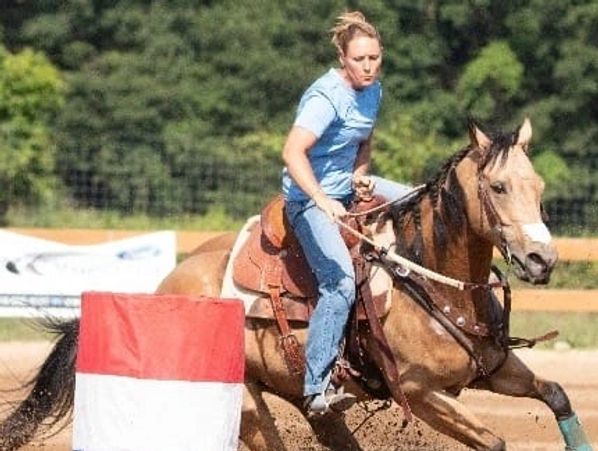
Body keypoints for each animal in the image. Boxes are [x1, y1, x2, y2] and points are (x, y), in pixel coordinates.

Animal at [0, 119, 593, 451]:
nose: (542, 258)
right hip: (245, 405)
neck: (432, 281)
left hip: (307, 402)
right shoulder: (422, 393)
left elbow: (557, 394)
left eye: (539, 186)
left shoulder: (494, 368)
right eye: (498, 186)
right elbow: (494, 440)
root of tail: (165, 286)